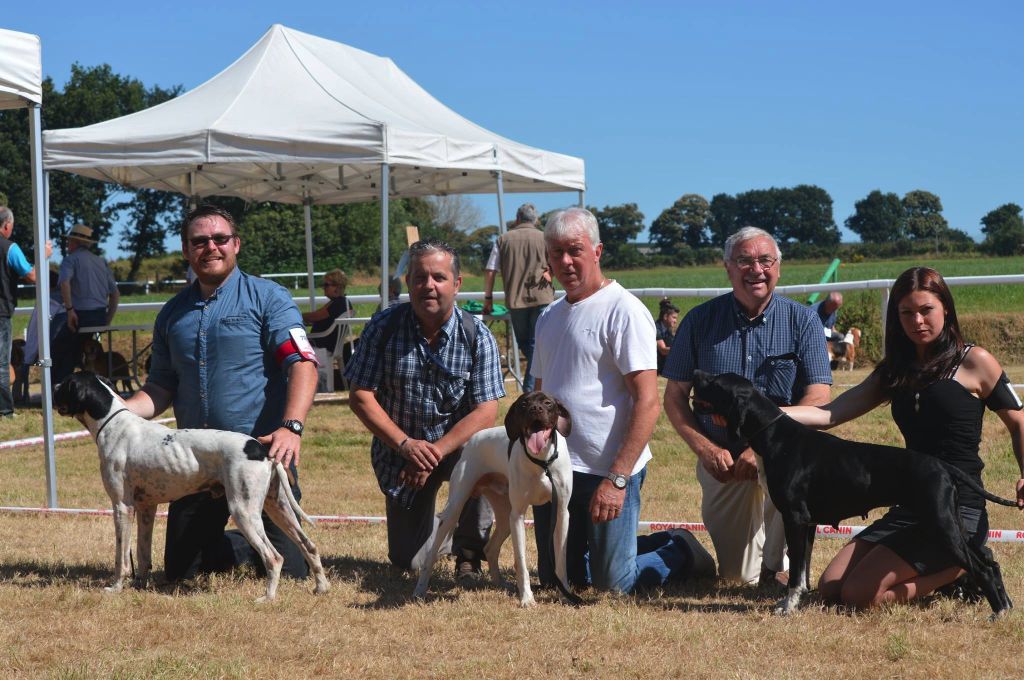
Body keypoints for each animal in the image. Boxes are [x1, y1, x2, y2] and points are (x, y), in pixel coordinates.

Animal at [54, 372, 329, 602]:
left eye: (65, 383)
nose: (54, 386)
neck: (112, 423)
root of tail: (261, 449)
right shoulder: (146, 508)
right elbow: (143, 555)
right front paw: (140, 585)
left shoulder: (122, 506)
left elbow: (121, 557)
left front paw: (116, 587)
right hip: (278, 507)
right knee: (310, 546)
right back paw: (321, 587)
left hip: (244, 511)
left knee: (274, 557)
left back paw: (268, 598)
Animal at [413, 391, 577, 606]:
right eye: (524, 403)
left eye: (548, 403)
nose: (535, 409)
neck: (542, 462)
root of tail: (474, 438)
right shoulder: (518, 516)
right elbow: (521, 561)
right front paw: (527, 598)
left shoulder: (561, 513)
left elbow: (561, 561)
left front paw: (564, 593)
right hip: (455, 510)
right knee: (431, 555)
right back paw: (420, 590)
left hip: (504, 516)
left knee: (490, 548)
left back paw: (501, 584)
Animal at [688, 368, 1015, 618]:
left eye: (716, 382)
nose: (696, 372)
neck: (774, 438)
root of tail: (943, 466)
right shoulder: (808, 524)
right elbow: (802, 572)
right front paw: (797, 602)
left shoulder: (794, 519)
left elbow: (794, 573)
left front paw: (787, 608)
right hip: (951, 523)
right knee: (988, 559)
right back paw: (1005, 606)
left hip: (941, 527)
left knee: (981, 568)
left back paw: (997, 613)